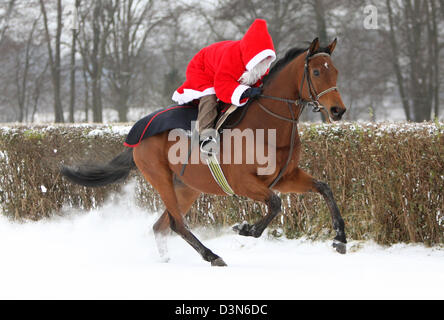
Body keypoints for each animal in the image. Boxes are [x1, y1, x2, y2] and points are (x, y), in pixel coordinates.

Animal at [61, 38, 346, 268]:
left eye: (336, 71)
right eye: (317, 71)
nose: (338, 110)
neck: (268, 125)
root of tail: (136, 135)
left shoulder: (286, 177)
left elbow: (324, 188)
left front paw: (340, 237)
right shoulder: (243, 182)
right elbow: (275, 204)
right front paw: (245, 228)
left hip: (187, 187)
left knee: (160, 225)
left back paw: (168, 259)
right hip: (161, 178)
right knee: (176, 223)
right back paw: (212, 255)